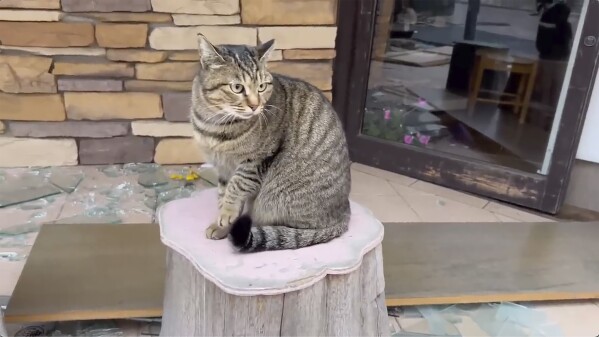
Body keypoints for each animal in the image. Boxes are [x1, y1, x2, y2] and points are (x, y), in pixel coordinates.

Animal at [191, 34, 352, 251]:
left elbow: (235, 187)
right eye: (237, 87)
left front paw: (227, 214)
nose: (255, 106)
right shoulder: (223, 168)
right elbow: (222, 194)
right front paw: (222, 225)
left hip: (280, 197)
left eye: (262, 87)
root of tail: (345, 213)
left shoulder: (255, 161)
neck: (216, 125)